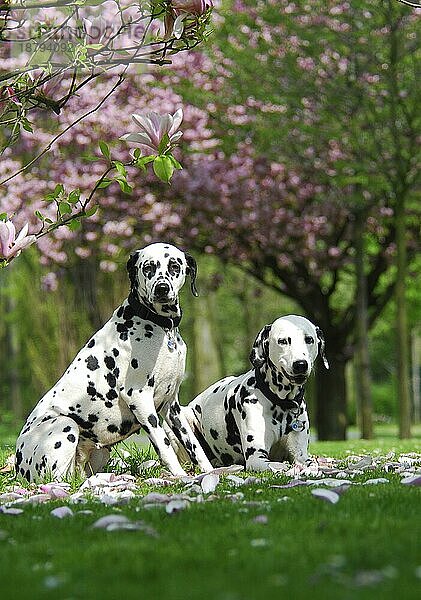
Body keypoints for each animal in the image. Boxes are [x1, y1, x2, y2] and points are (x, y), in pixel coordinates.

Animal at [15, 241, 213, 480]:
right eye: (148, 267)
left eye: (174, 266)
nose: (162, 288)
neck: (160, 328)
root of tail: (17, 465)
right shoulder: (139, 398)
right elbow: (164, 445)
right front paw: (180, 477)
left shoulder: (171, 405)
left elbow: (195, 446)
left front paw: (211, 473)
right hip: (65, 424)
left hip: (100, 453)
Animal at [174, 316, 328, 472]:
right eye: (283, 341)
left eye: (309, 339)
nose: (300, 364)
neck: (281, 403)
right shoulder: (256, 458)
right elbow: (276, 466)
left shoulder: (301, 456)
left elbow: (310, 464)